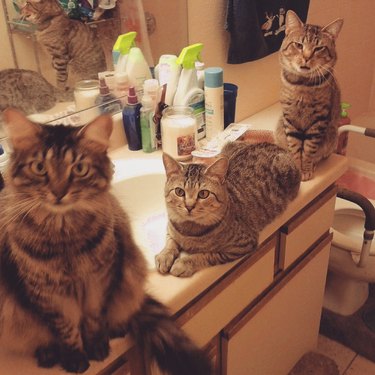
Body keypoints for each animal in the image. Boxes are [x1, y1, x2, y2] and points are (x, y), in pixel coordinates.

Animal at [0, 108, 212, 375]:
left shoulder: (98, 281)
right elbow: (66, 329)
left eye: (80, 169)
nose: (59, 193)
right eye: (39, 167)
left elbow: (93, 321)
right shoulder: (48, 294)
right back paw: (48, 353)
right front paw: (75, 358)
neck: (65, 238)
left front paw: (96, 348)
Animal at [156, 142, 302, 278]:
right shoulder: (170, 228)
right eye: (179, 192)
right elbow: (170, 242)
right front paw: (164, 255)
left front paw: (184, 263)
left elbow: (207, 255)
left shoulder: (242, 245)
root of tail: (275, 145)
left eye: (203, 194)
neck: (188, 231)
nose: (189, 206)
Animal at [274, 11, 346, 181]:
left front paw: (305, 168)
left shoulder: (318, 121)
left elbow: (308, 149)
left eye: (319, 48)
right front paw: (296, 166)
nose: (306, 57)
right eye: (299, 45)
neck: (302, 85)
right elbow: (294, 146)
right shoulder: (290, 117)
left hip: (331, 136)